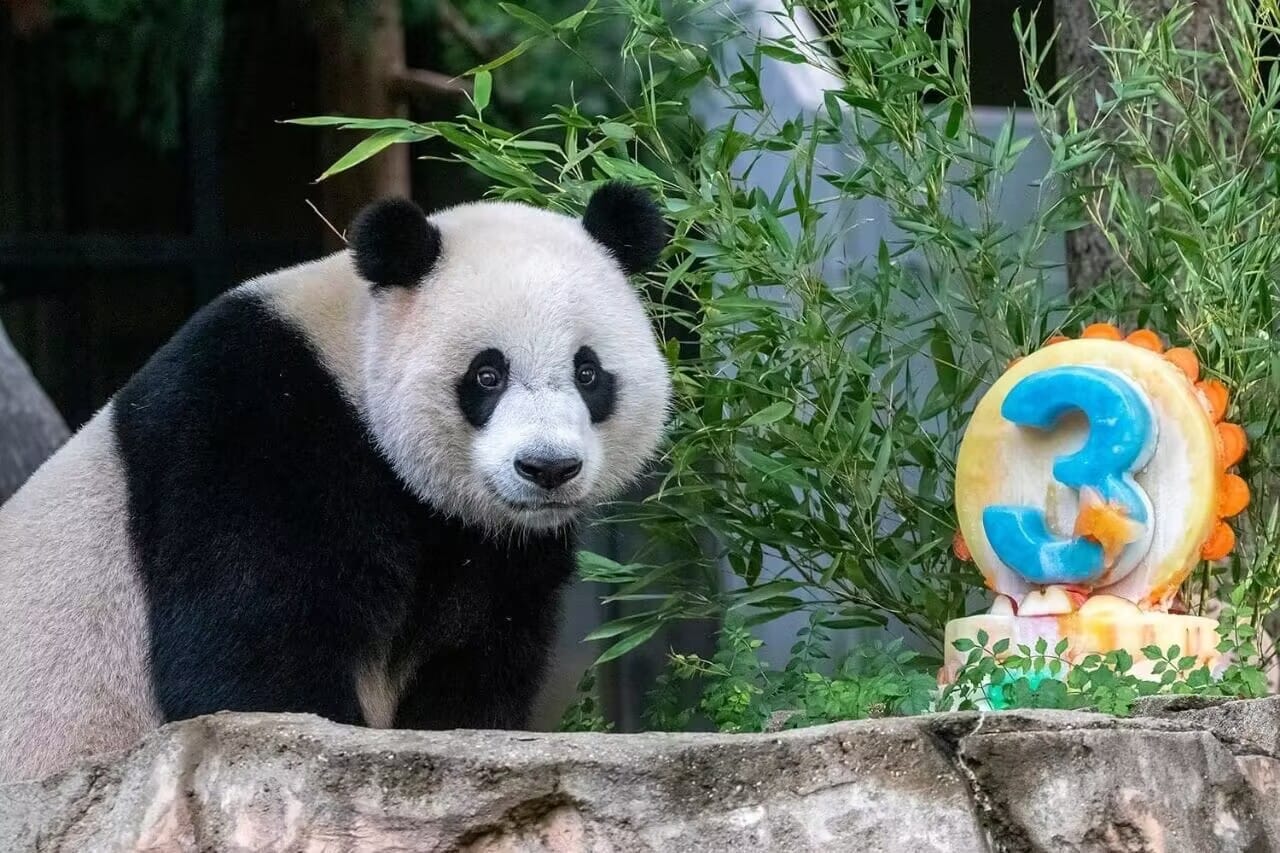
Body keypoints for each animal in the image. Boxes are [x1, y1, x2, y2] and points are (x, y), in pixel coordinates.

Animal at [0, 182, 672, 782]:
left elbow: (474, 668)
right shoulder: (251, 431)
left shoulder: (493, 553)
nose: (547, 468)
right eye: (487, 375)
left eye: (587, 372)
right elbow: (249, 652)